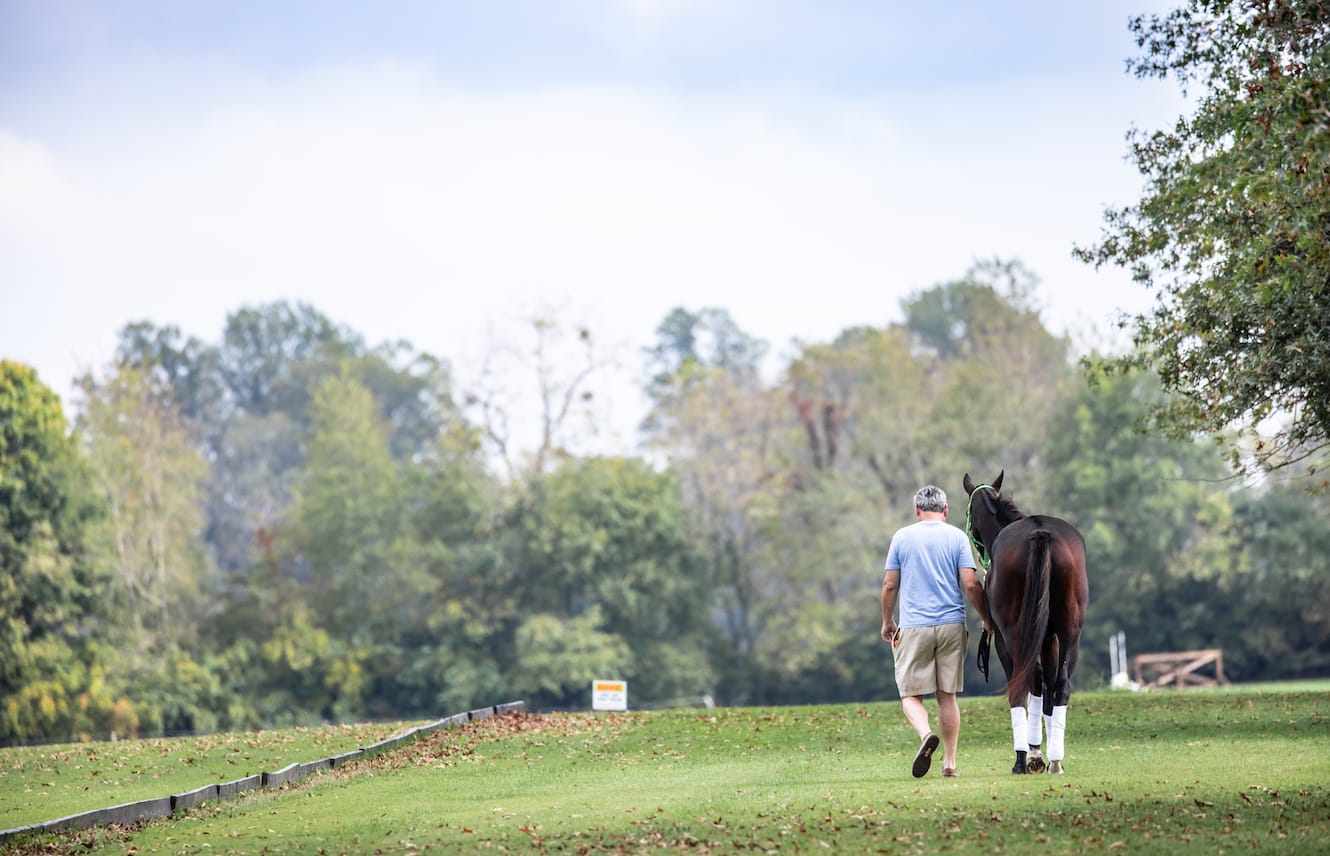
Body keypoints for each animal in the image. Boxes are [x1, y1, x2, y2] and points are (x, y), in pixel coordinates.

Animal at [968, 470, 1090, 770]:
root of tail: (1040, 531)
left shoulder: (1004, 641)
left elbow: (1027, 684)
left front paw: (1030, 753)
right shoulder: (1049, 639)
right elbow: (1048, 688)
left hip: (1014, 634)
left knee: (1024, 681)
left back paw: (1025, 758)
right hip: (1070, 632)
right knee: (1061, 685)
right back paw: (1055, 759)